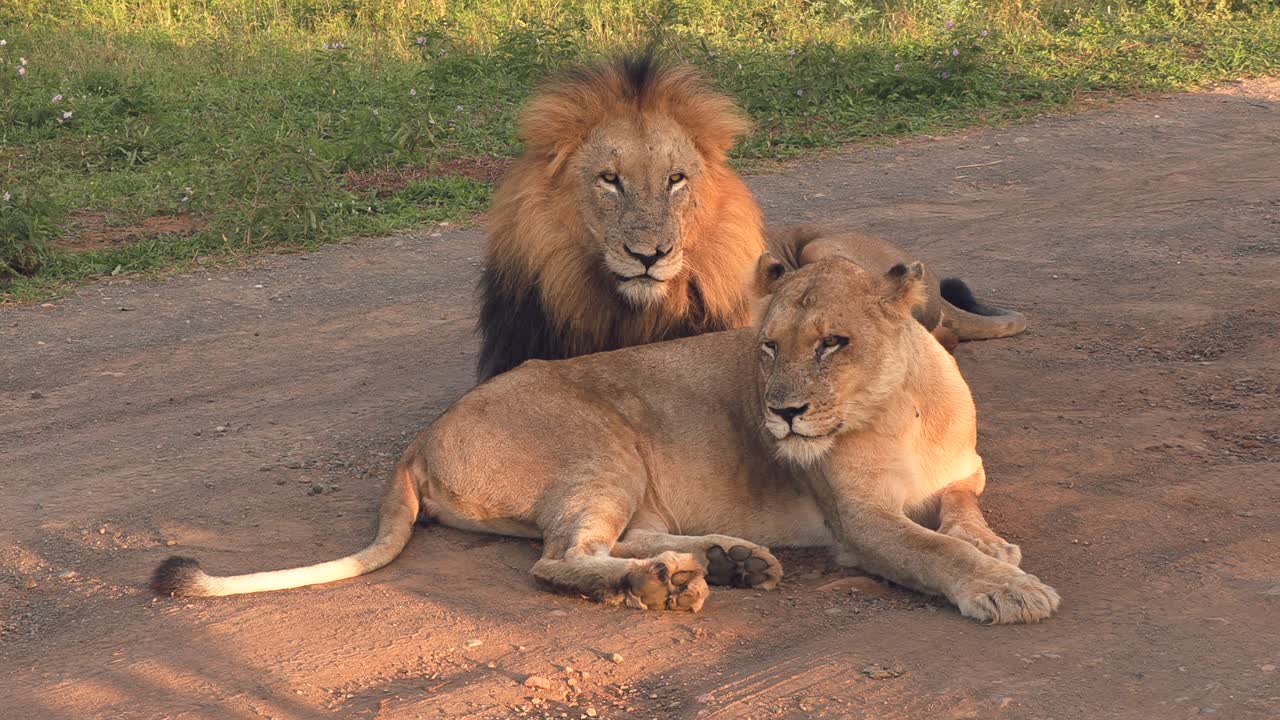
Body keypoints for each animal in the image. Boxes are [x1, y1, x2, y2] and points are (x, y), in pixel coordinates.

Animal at [153, 258, 1058, 624]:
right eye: (767, 346)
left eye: (834, 343)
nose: (783, 415)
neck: (898, 408)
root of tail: (421, 436)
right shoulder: (857, 521)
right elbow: (931, 550)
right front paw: (1006, 588)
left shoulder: (962, 471)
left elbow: (962, 508)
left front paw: (994, 546)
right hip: (603, 447)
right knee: (561, 558)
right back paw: (660, 587)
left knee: (612, 541)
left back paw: (724, 561)